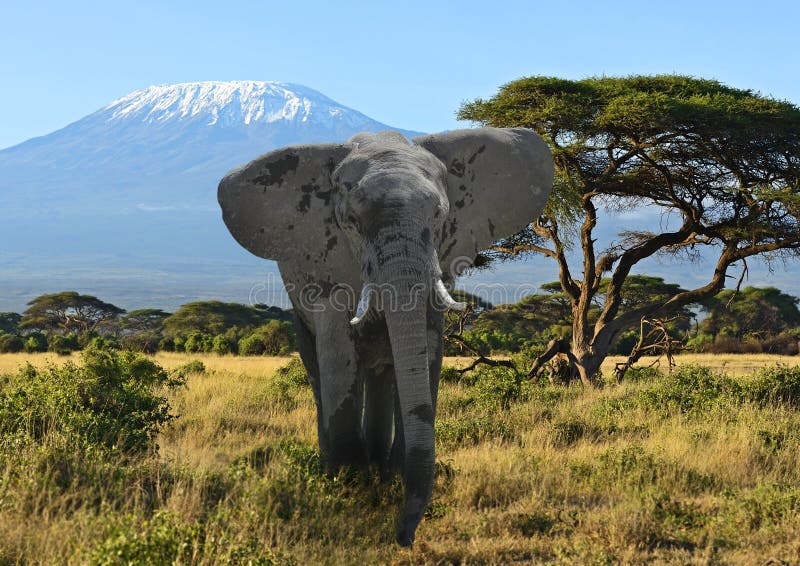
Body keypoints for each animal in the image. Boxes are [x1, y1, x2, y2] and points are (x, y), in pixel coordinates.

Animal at [219, 127, 556, 544]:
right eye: (350, 221)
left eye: (441, 215)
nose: (402, 536)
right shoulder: (328, 263)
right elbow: (338, 345)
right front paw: (348, 486)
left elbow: (426, 349)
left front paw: (389, 479)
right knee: (318, 367)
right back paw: (335, 464)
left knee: (380, 373)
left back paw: (380, 467)